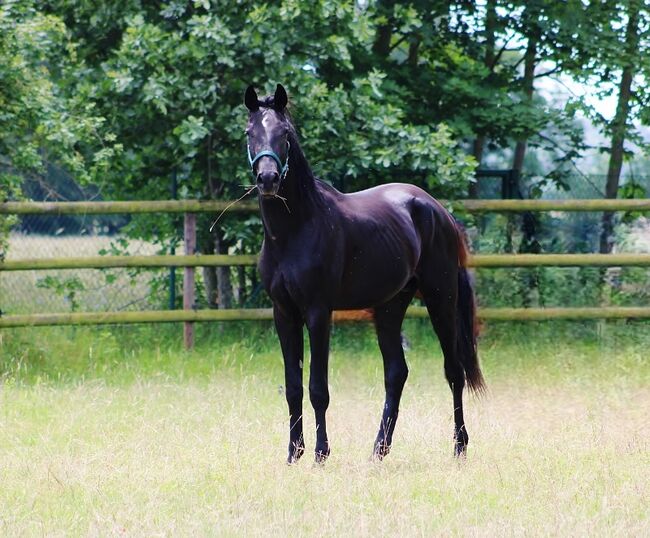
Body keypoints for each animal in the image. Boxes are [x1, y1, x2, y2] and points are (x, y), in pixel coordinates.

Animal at [243, 82, 480, 460]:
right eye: (250, 133)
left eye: (285, 134)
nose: (268, 178)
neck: (297, 229)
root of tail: (437, 210)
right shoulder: (284, 313)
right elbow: (293, 387)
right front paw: (293, 454)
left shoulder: (318, 312)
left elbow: (318, 388)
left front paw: (321, 454)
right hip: (389, 307)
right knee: (396, 373)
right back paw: (379, 451)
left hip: (440, 298)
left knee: (454, 371)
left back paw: (459, 448)